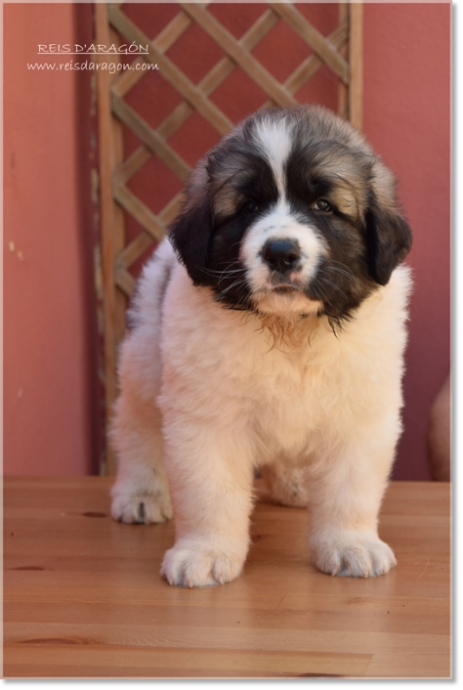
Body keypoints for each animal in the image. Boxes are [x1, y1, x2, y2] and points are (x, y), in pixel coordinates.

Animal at [109, 103, 414, 584]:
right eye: (248, 207)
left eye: (323, 206)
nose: (281, 252)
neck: (289, 329)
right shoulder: (207, 418)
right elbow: (210, 491)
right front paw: (205, 552)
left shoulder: (359, 415)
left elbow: (350, 489)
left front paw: (351, 544)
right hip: (144, 361)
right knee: (136, 428)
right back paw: (141, 493)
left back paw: (295, 485)